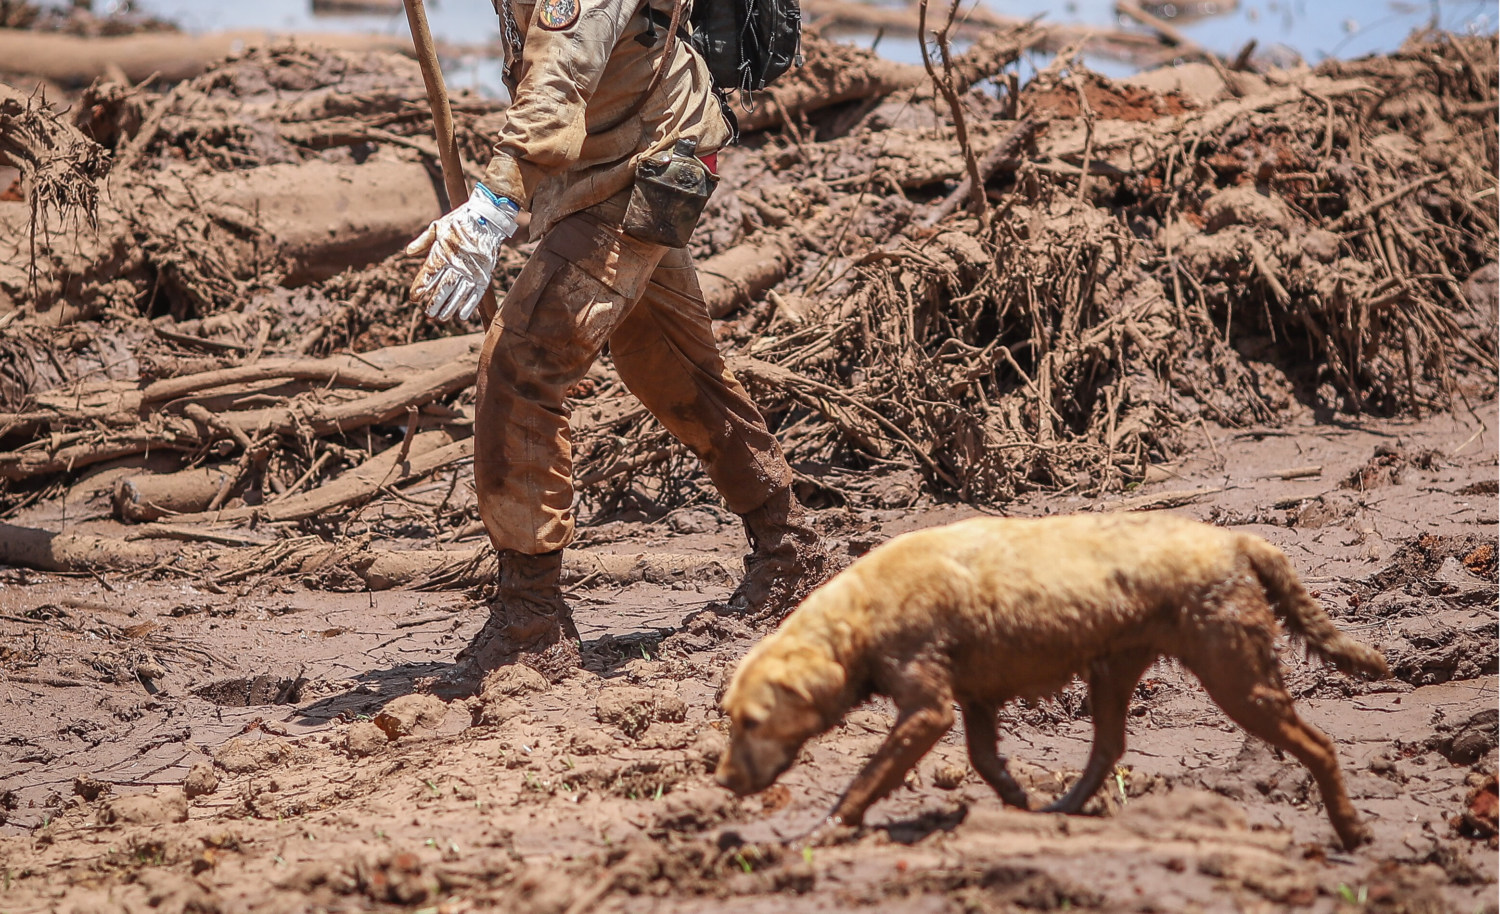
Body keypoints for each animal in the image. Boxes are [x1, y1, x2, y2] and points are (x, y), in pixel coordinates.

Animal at [717, 513, 1392, 846]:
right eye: (728, 718)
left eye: (752, 720)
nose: (721, 780)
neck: (857, 615)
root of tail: (1238, 540)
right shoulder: (976, 699)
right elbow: (985, 759)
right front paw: (1017, 799)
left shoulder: (929, 709)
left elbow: (866, 779)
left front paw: (822, 830)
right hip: (1114, 671)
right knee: (1108, 748)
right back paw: (1063, 808)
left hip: (1236, 678)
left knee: (1319, 744)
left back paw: (1353, 831)